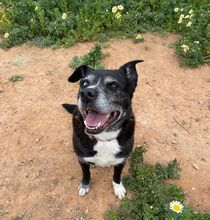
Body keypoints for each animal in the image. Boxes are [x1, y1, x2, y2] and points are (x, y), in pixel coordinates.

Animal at [63, 59, 144, 199]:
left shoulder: (121, 160)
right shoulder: (82, 159)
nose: (86, 93)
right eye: (84, 83)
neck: (104, 138)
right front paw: (85, 185)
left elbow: (117, 175)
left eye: (113, 85)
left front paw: (118, 188)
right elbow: (86, 173)